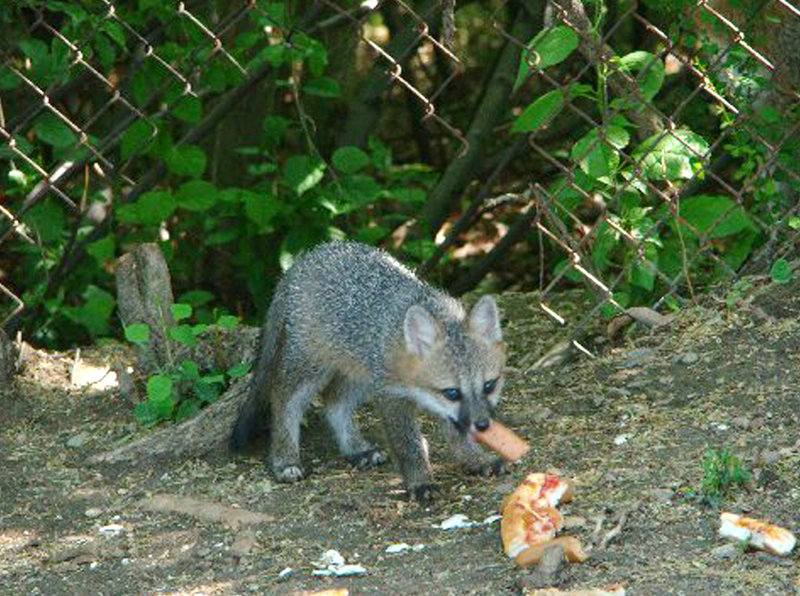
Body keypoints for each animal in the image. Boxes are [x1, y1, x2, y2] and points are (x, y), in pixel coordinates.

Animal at [230, 240, 507, 500]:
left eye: (489, 385)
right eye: (452, 392)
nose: (483, 425)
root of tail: (306, 258)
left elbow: (457, 436)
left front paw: (476, 460)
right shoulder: (392, 396)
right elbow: (408, 445)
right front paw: (420, 482)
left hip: (359, 374)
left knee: (334, 403)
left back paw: (356, 449)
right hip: (310, 369)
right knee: (283, 401)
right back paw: (285, 459)